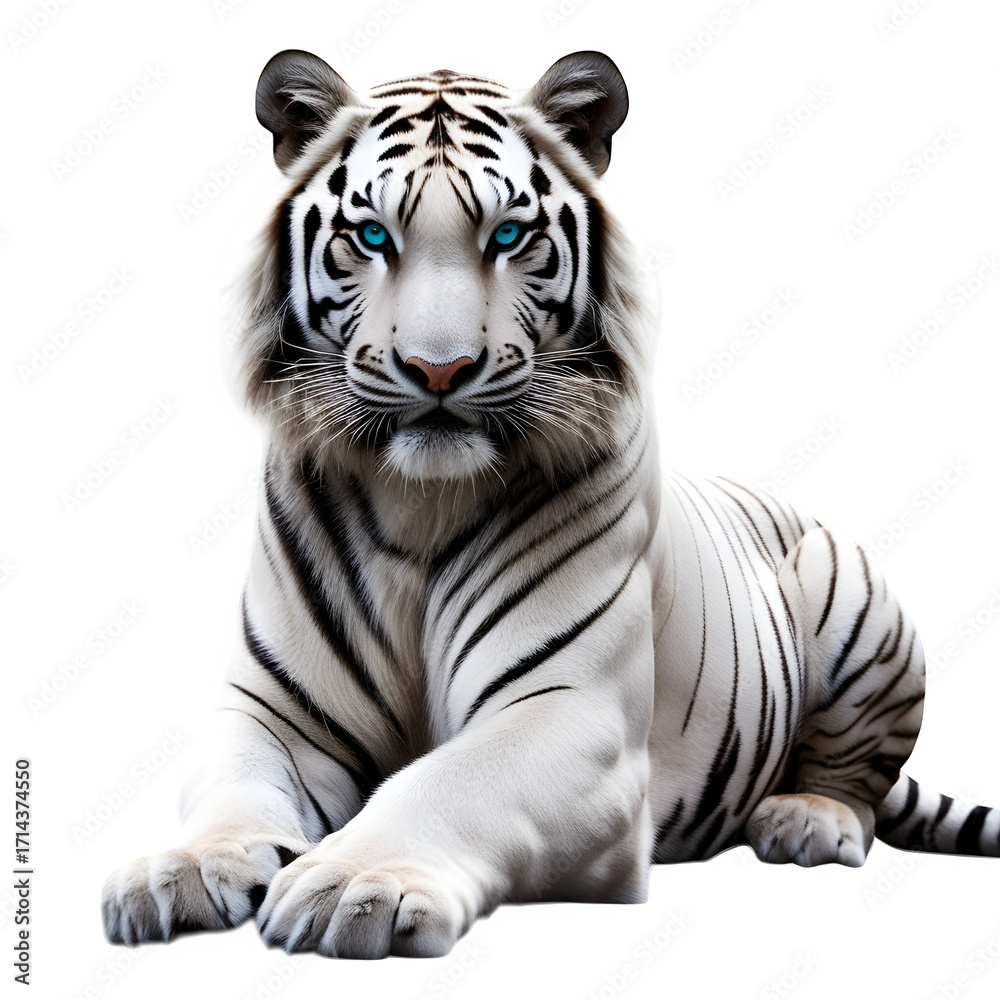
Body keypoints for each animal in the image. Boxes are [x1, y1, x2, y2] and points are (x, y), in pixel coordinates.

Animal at [101, 49, 999, 960]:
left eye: (508, 235)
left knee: (857, 777)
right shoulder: (274, 711)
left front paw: (355, 884)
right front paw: (179, 870)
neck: (418, 504)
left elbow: (447, 784)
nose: (438, 369)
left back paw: (806, 819)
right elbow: (234, 787)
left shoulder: (567, 710)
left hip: (841, 581)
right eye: (372, 236)